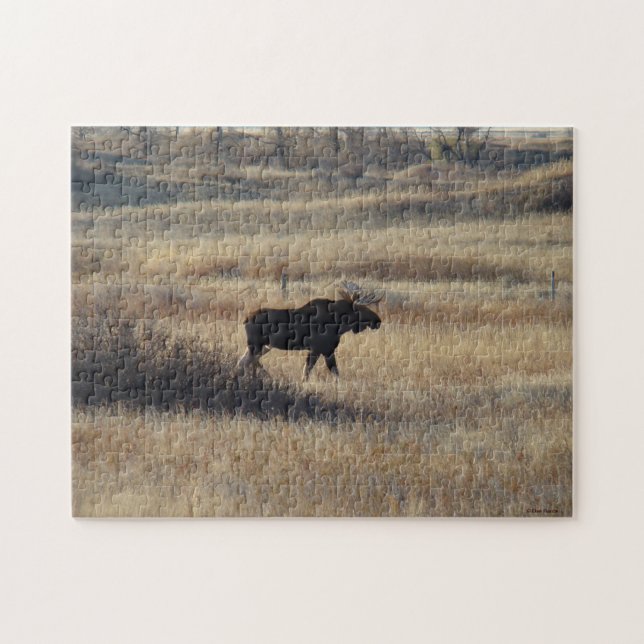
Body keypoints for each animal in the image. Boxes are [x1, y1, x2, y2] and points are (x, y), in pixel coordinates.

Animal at [238, 282, 383, 380]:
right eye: (361, 309)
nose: (378, 320)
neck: (339, 324)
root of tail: (245, 319)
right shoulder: (320, 349)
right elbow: (312, 372)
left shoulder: (325, 350)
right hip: (256, 345)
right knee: (248, 362)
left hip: (264, 346)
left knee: (243, 361)